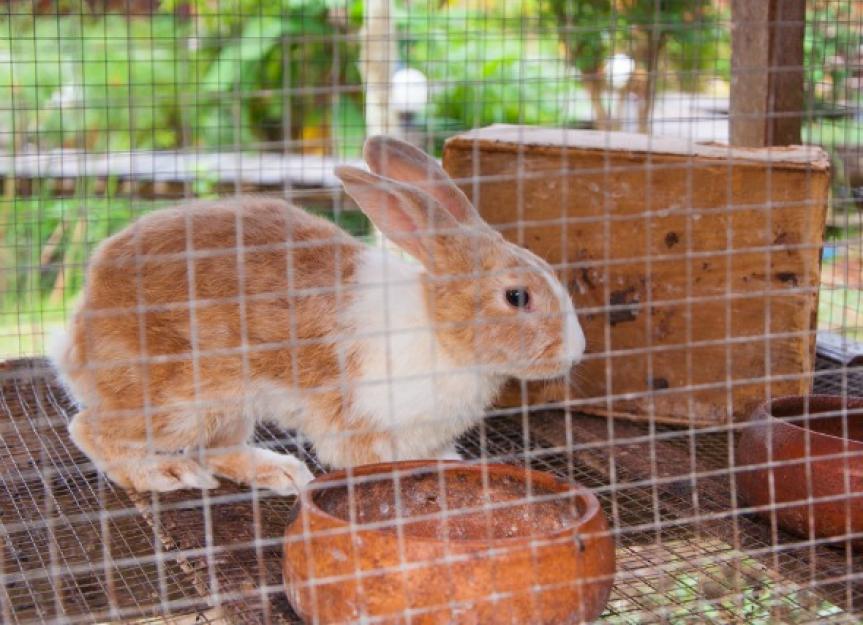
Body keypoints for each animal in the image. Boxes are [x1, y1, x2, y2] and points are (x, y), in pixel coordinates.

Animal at [50, 135, 585, 495]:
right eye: (517, 297)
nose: (577, 351)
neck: (440, 329)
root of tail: (80, 324)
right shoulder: (363, 423)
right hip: (179, 400)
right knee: (89, 428)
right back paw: (162, 473)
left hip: (228, 405)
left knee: (218, 449)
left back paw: (279, 472)